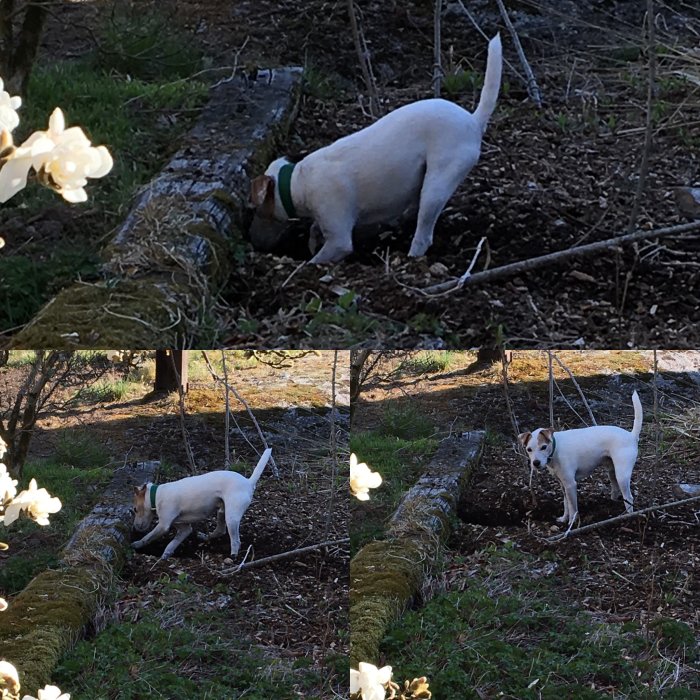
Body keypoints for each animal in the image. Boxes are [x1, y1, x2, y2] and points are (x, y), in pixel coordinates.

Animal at [133, 448, 272, 556]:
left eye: (135, 509)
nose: (134, 527)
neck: (156, 495)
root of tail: (248, 482)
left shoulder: (163, 525)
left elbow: (148, 537)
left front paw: (137, 544)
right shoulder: (184, 528)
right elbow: (172, 544)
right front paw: (165, 555)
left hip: (231, 518)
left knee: (236, 541)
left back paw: (233, 557)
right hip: (222, 512)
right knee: (220, 531)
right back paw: (205, 537)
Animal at [252, 33, 504, 262]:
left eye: (257, 210)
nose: (255, 243)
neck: (298, 181)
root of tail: (473, 120)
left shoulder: (339, 238)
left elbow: (322, 257)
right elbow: (315, 230)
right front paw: (313, 241)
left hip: (438, 184)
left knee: (424, 233)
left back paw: (411, 255)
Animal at [516, 392, 644, 528]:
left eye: (543, 447)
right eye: (529, 449)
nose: (536, 463)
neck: (556, 449)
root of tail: (631, 435)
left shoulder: (571, 484)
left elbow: (573, 507)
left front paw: (571, 523)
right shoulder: (563, 485)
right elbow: (566, 504)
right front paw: (564, 519)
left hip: (622, 475)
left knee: (629, 497)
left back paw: (628, 516)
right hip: (612, 471)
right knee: (616, 489)